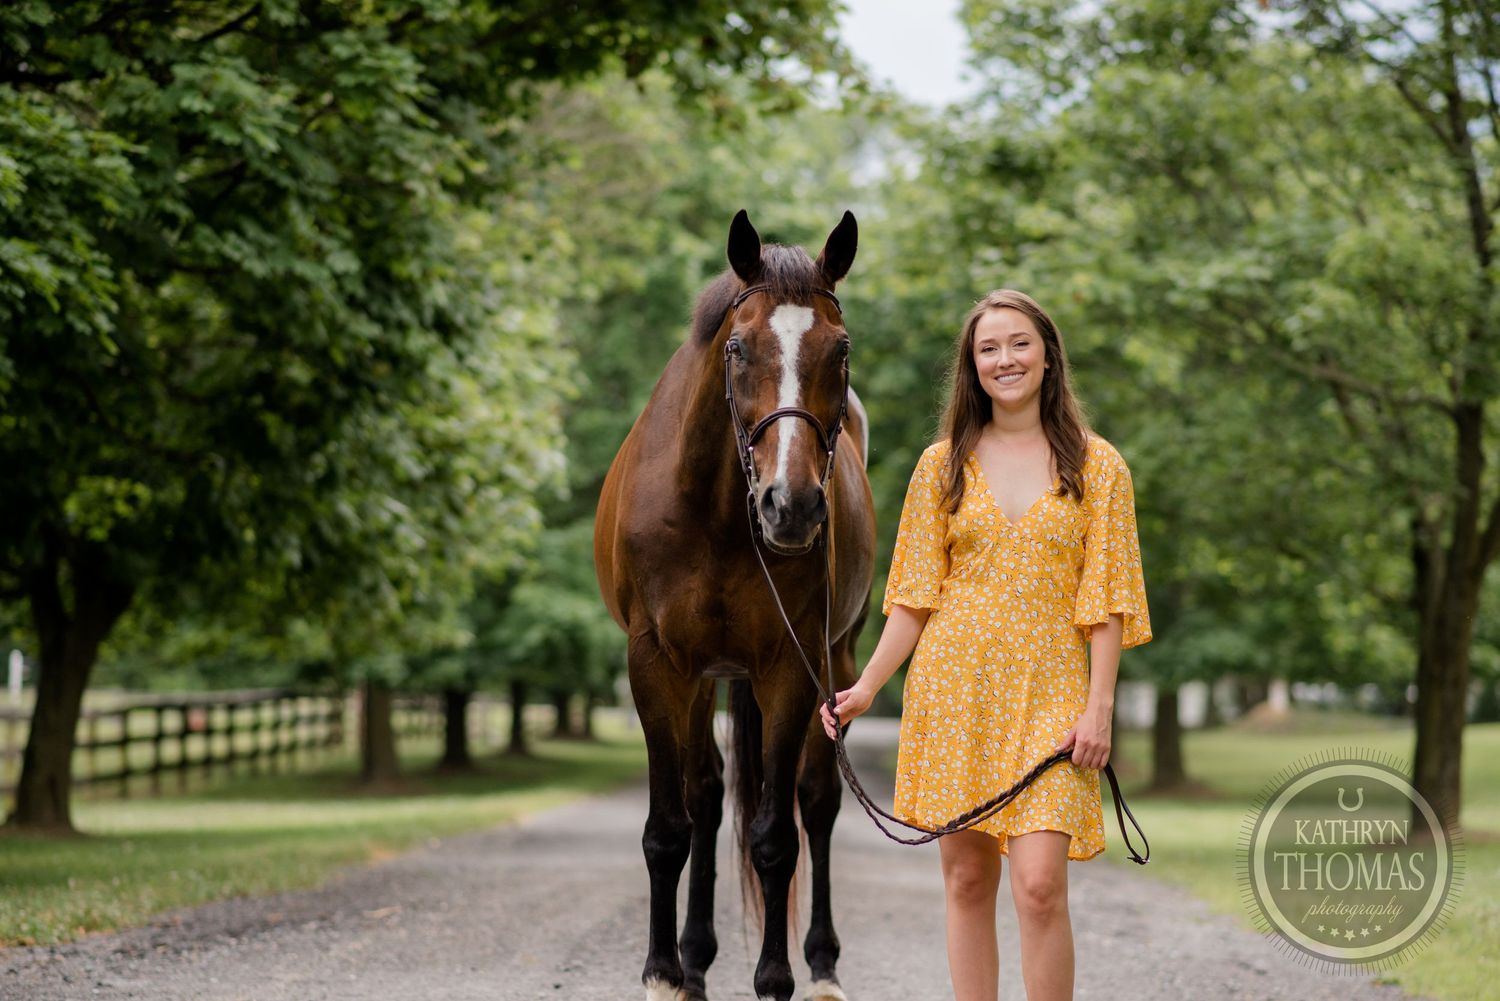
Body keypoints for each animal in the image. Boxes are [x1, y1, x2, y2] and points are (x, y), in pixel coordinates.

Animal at [595, 210, 876, 1001]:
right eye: (738, 347)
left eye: (840, 349)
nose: (793, 506)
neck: (717, 510)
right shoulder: (657, 663)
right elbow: (671, 826)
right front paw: (663, 972)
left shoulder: (787, 666)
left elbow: (776, 836)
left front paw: (775, 976)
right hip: (704, 678)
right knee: (707, 795)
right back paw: (693, 958)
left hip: (833, 661)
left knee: (817, 801)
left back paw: (821, 963)